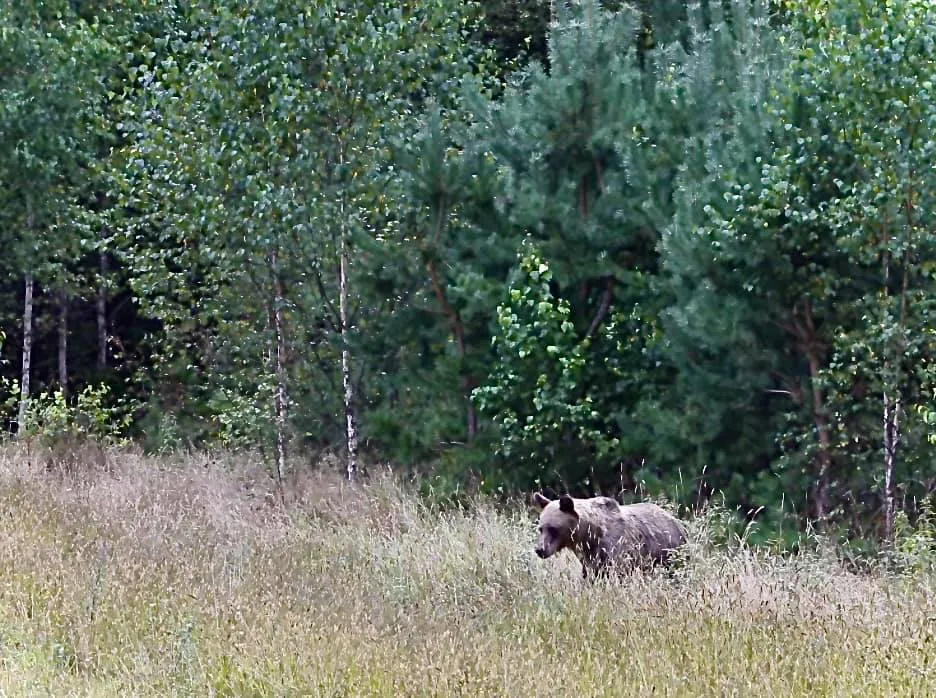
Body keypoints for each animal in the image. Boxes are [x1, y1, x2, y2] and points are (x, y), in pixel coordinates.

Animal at [532, 492, 688, 580]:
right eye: (541, 528)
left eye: (553, 529)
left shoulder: (616, 549)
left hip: (671, 552)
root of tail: (677, 521)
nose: (540, 549)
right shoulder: (589, 558)